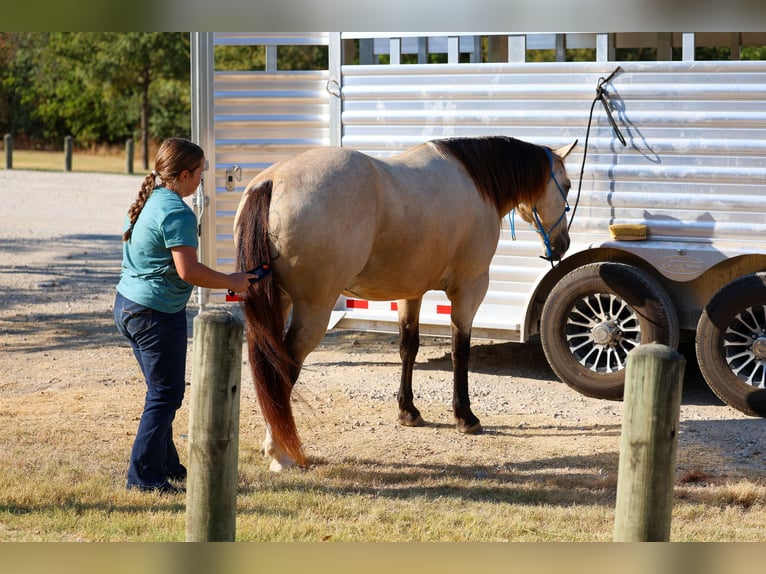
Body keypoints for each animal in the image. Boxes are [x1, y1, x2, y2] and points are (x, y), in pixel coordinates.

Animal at [234, 136, 576, 471]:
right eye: (568, 185)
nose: (563, 245)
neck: (474, 181)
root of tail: (273, 181)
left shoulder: (410, 292)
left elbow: (408, 347)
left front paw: (408, 411)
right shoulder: (469, 290)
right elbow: (460, 351)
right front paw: (465, 417)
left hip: (279, 303)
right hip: (314, 309)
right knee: (283, 368)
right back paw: (279, 452)